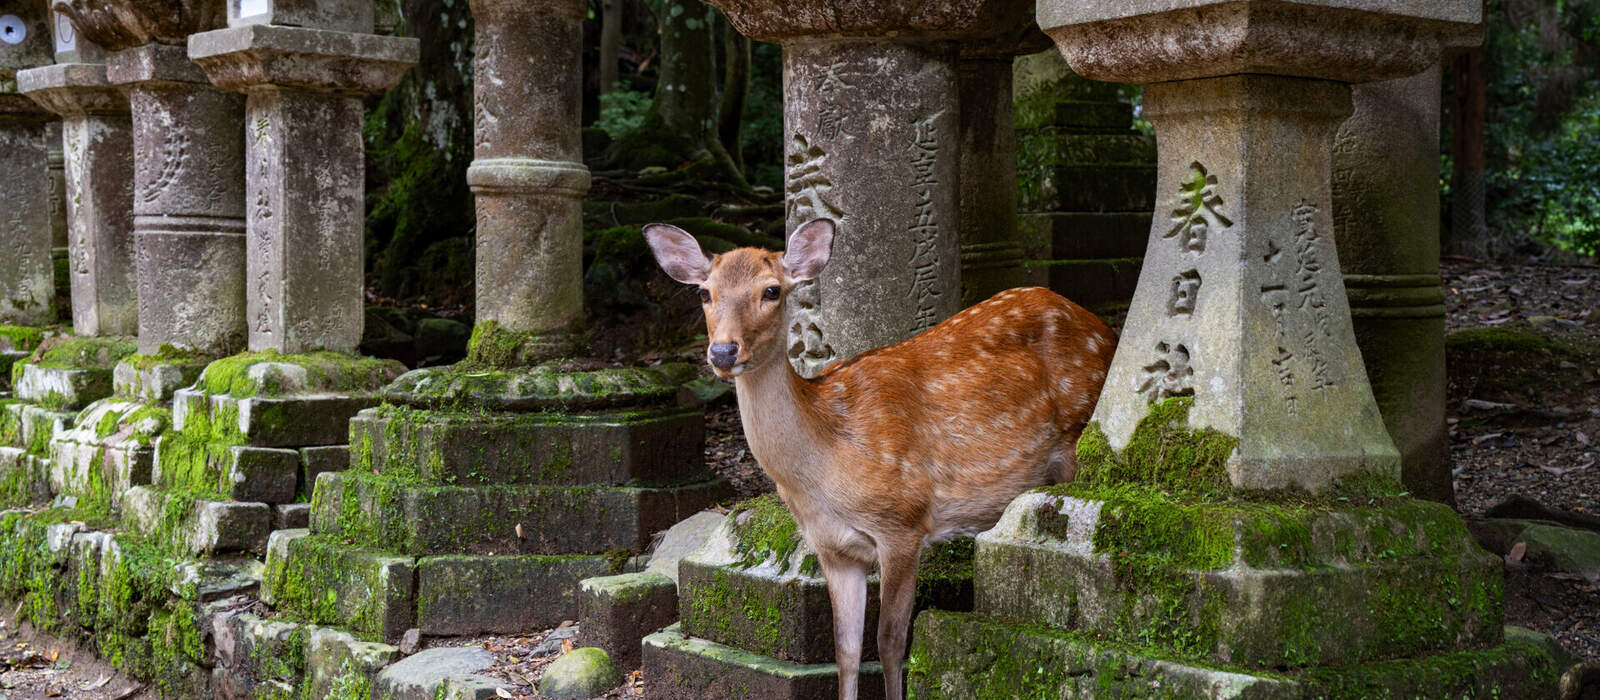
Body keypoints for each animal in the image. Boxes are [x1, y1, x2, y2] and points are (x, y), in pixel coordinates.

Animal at [643, 218, 1117, 700]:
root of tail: (1104, 328)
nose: (722, 352)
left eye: (771, 290)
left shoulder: (904, 522)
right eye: (705, 293)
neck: (823, 467)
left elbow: (890, 642)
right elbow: (846, 650)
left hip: (1077, 438)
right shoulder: (833, 549)